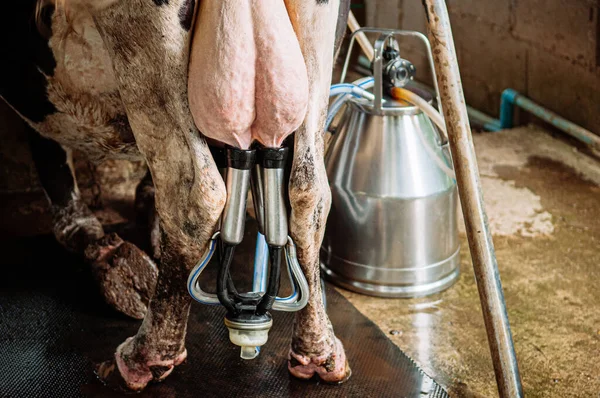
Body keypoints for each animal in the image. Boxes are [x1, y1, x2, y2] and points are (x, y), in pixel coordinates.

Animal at [0, 0, 352, 392]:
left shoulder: (36, 109)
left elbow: (62, 193)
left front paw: (111, 256)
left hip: (141, 34)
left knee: (195, 194)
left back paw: (147, 355)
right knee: (308, 194)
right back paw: (318, 353)